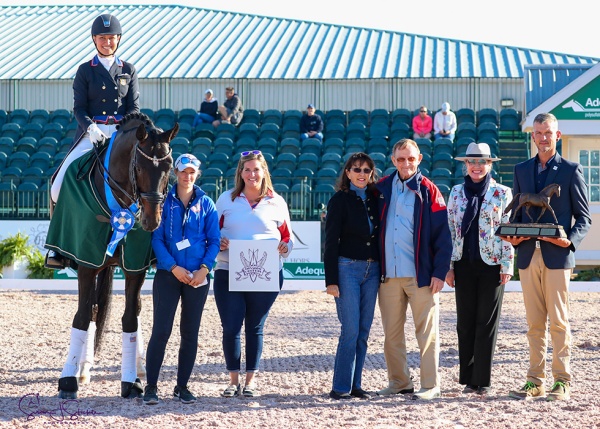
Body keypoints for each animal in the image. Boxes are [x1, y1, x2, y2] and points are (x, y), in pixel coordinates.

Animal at [51, 113, 178, 398]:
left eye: (169, 169)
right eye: (139, 168)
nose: (151, 221)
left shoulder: (135, 266)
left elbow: (130, 318)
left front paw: (131, 381)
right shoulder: (87, 262)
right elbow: (82, 316)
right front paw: (68, 380)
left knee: (133, 312)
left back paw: (140, 366)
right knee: (92, 312)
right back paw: (82, 369)